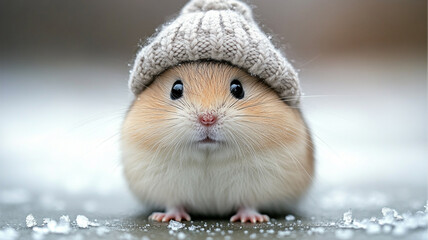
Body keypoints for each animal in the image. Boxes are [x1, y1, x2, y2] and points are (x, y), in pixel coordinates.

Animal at [121, 0, 314, 223]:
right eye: (175, 89)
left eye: (238, 88)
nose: (207, 119)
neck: (209, 153)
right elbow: (173, 203)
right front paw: (166, 218)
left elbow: (248, 203)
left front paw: (253, 219)